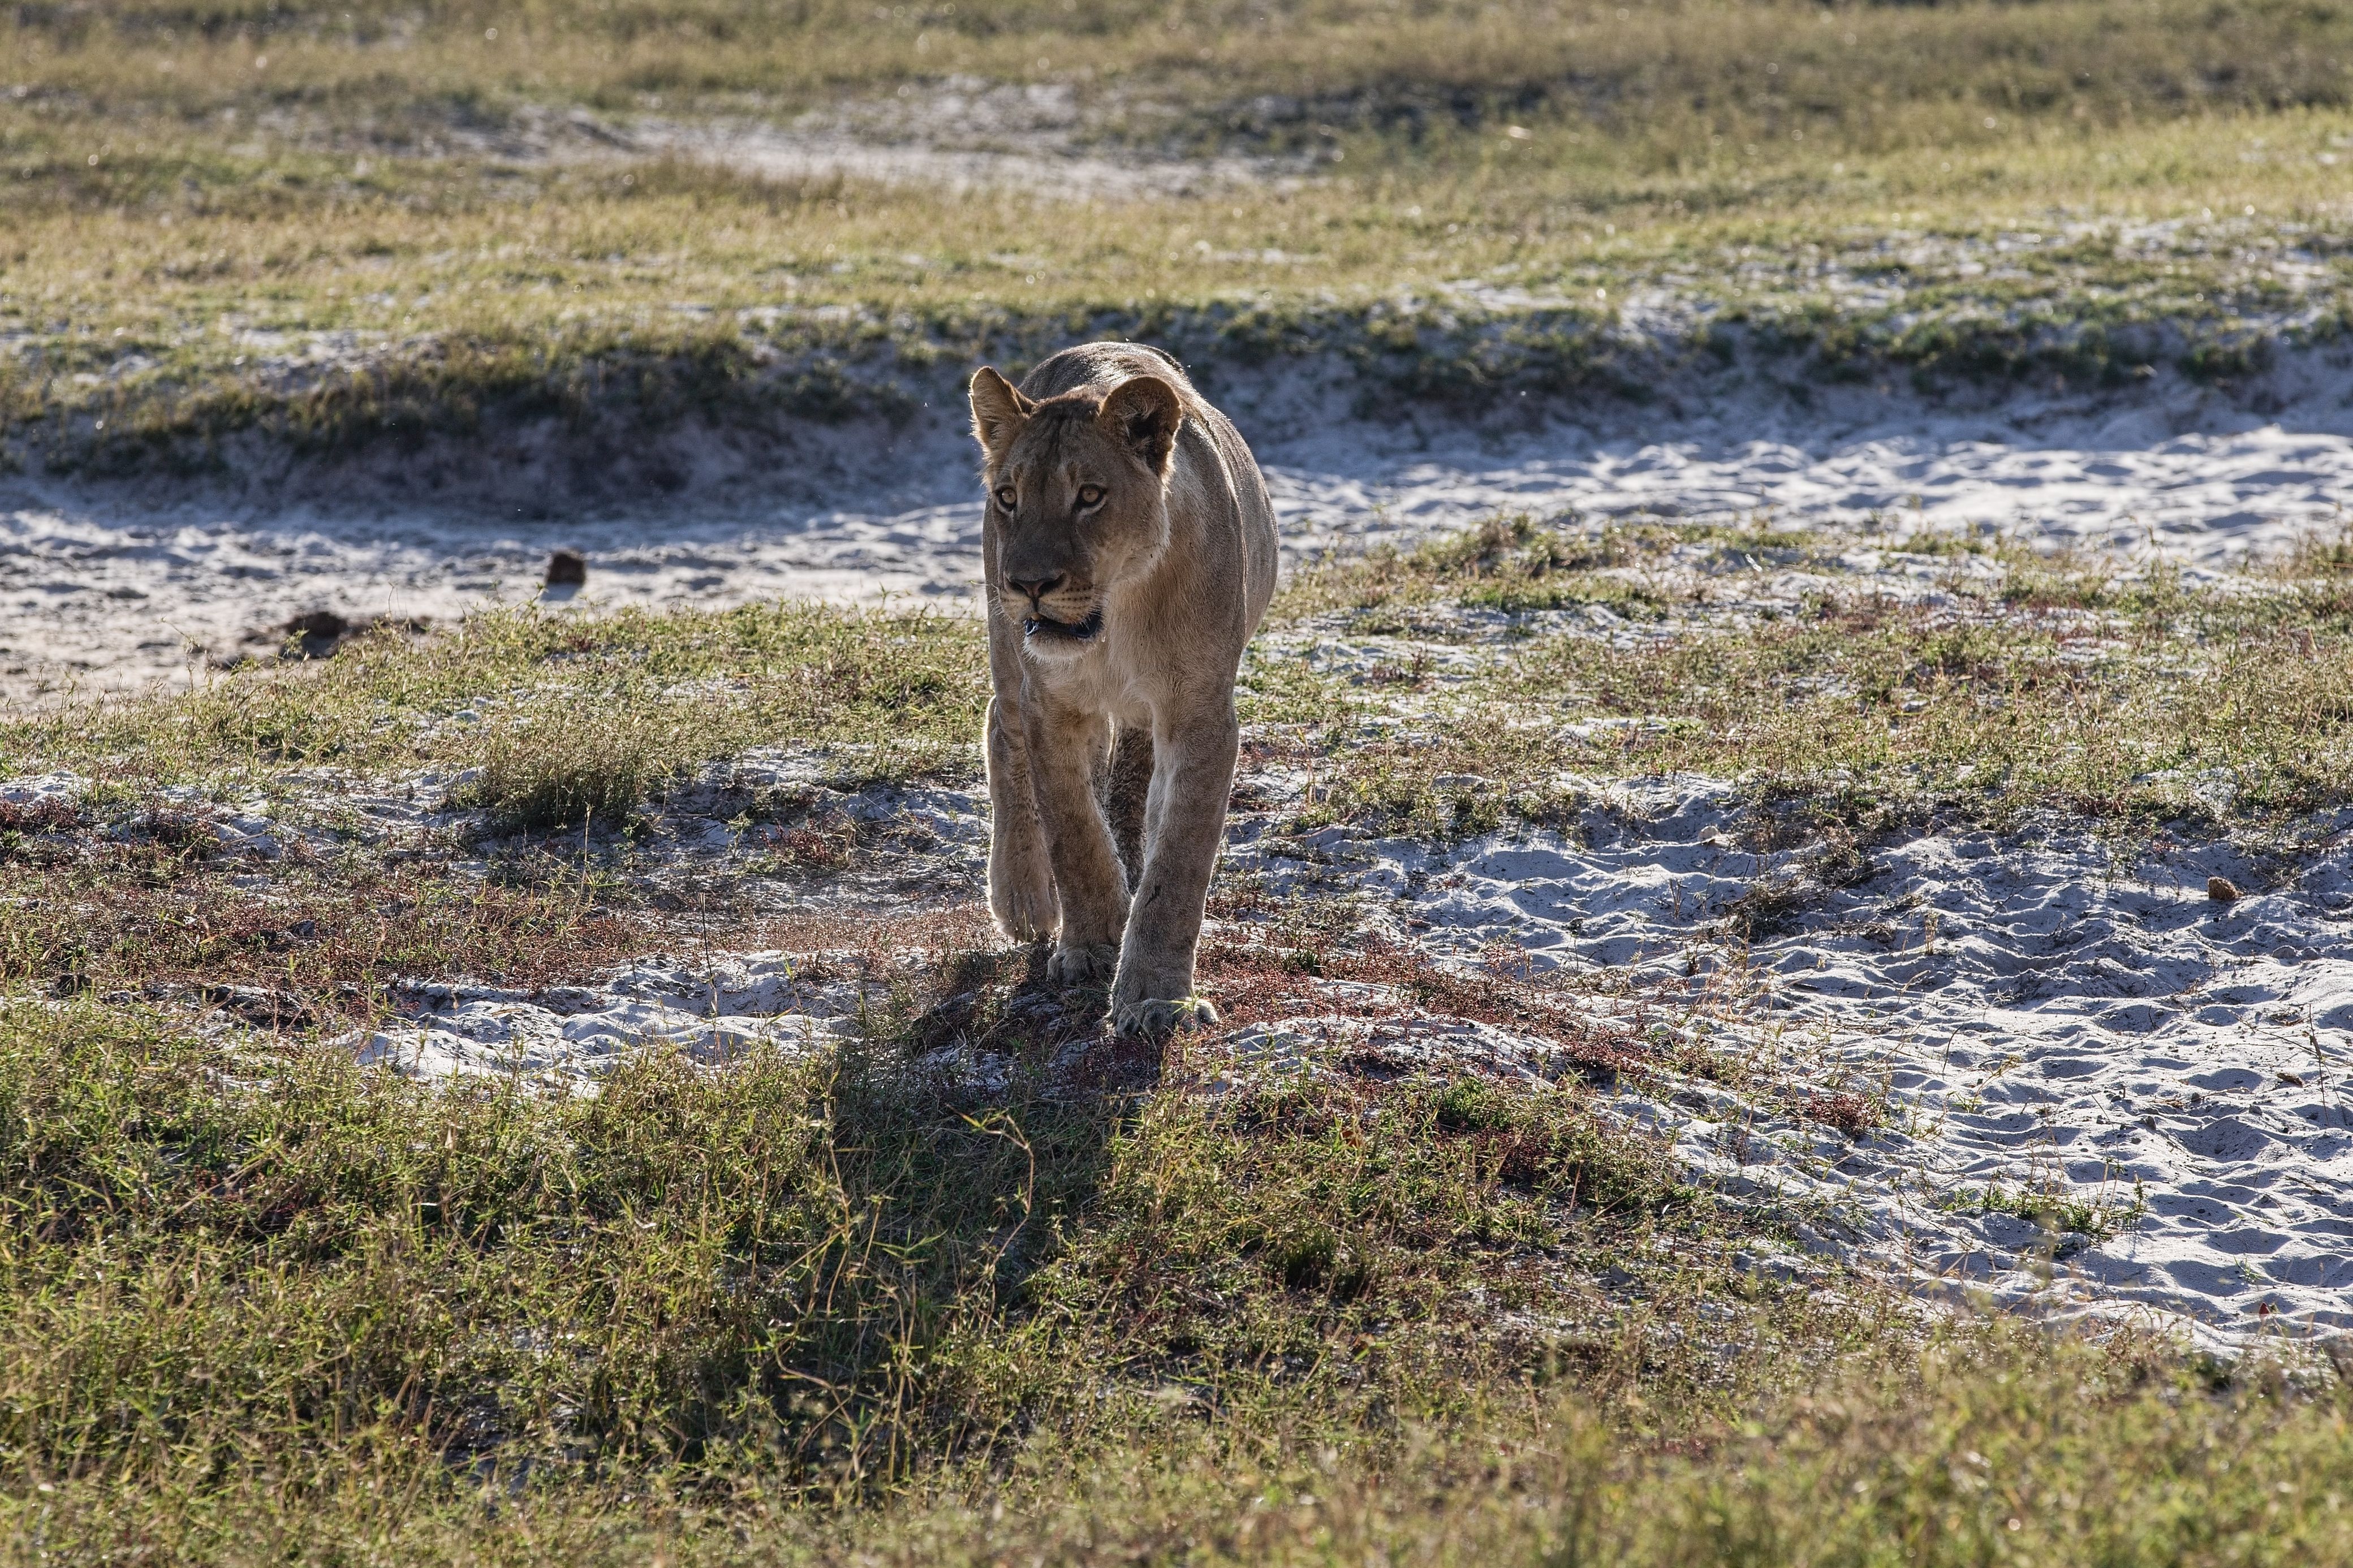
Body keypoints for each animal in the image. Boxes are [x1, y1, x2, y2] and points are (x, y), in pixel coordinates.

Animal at [967, 342, 1279, 1038]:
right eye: (1009, 496)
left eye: (1089, 495)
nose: (1029, 583)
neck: (1118, 616)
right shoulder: (1050, 701)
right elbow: (1073, 829)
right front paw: (1092, 944)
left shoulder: (1199, 712)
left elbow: (1179, 857)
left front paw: (1155, 995)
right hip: (1007, 649)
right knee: (1002, 726)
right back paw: (1023, 897)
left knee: (1132, 780)